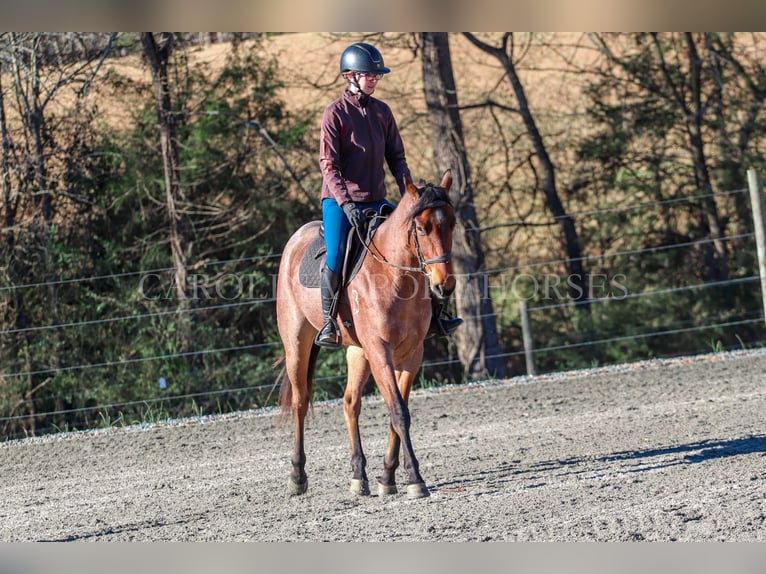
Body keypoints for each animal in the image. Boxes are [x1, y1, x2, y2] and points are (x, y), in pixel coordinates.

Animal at [276, 170, 456, 500]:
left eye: (451, 223)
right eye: (421, 228)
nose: (444, 285)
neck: (396, 277)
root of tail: (296, 239)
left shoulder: (411, 354)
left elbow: (398, 412)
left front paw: (387, 477)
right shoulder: (380, 351)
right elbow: (398, 412)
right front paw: (415, 480)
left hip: (357, 351)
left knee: (350, 403)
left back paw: (359, 476)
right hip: (297, 343)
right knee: (300, 401)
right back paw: (297, 475)